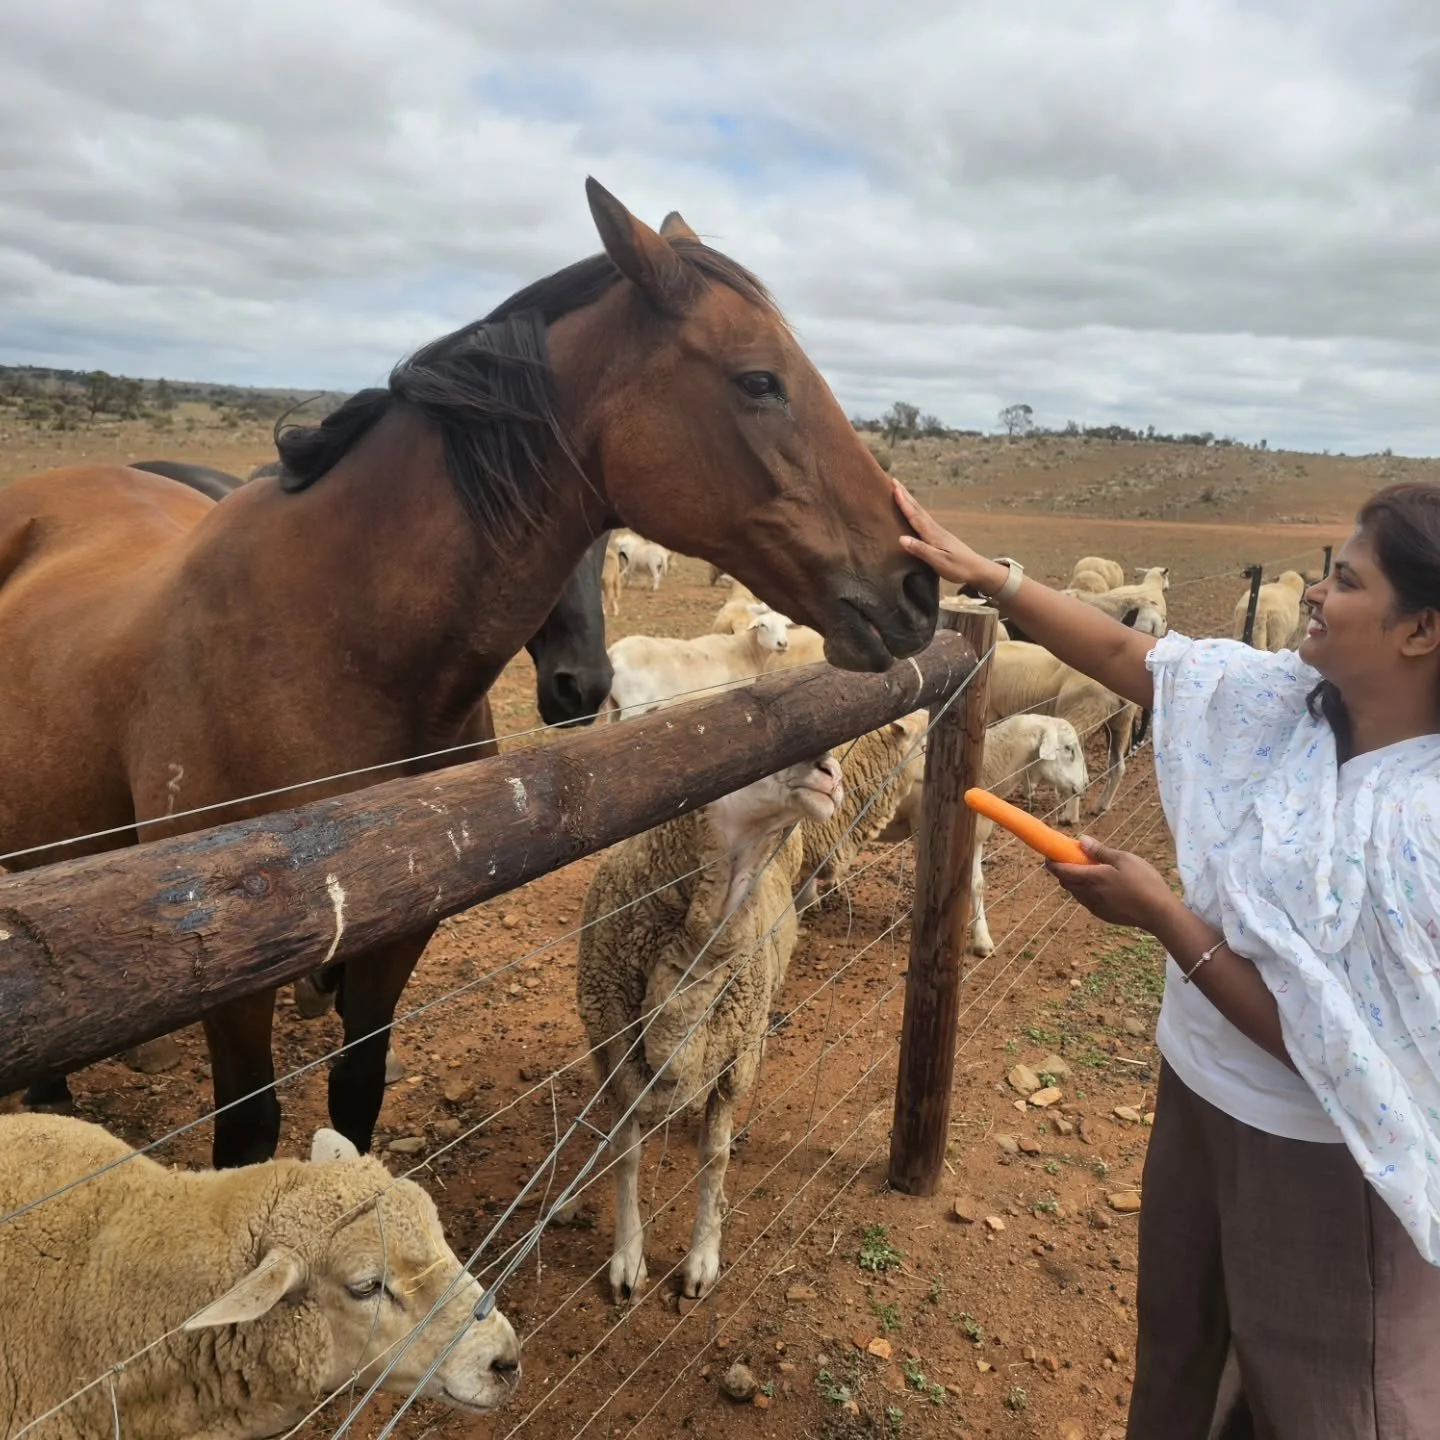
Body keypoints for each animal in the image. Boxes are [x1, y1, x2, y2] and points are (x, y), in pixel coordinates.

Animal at [0, 178, 937, 1168]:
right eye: (759, 379)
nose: (918, 582)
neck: (333, 646)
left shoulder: (400, 929)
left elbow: (357, 1089)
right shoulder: (233, 975)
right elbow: (247, 1136)